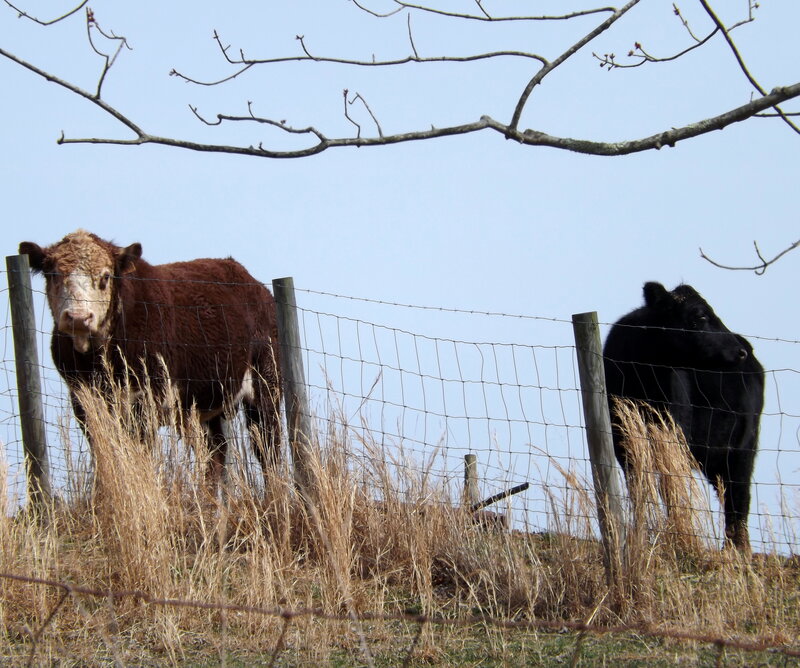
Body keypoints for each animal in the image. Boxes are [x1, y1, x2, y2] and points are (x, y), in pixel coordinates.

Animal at [19, 230, 282, 490]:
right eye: (54, 274)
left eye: (105, 277)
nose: (78, 317)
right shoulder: (83, 402)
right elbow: (104, 455)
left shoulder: (145, 401)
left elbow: (140, 455)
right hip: (203, 404)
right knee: (215, 452)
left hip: (266, 386)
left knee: (267, 448)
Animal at [602, 281, 764, 551]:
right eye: (700, 315)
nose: (739, 352)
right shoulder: (623, 445)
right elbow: (639, 490)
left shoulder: (673, 438)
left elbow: (670, 490)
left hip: (743, 449)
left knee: (738, 497)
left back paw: (737, 549)